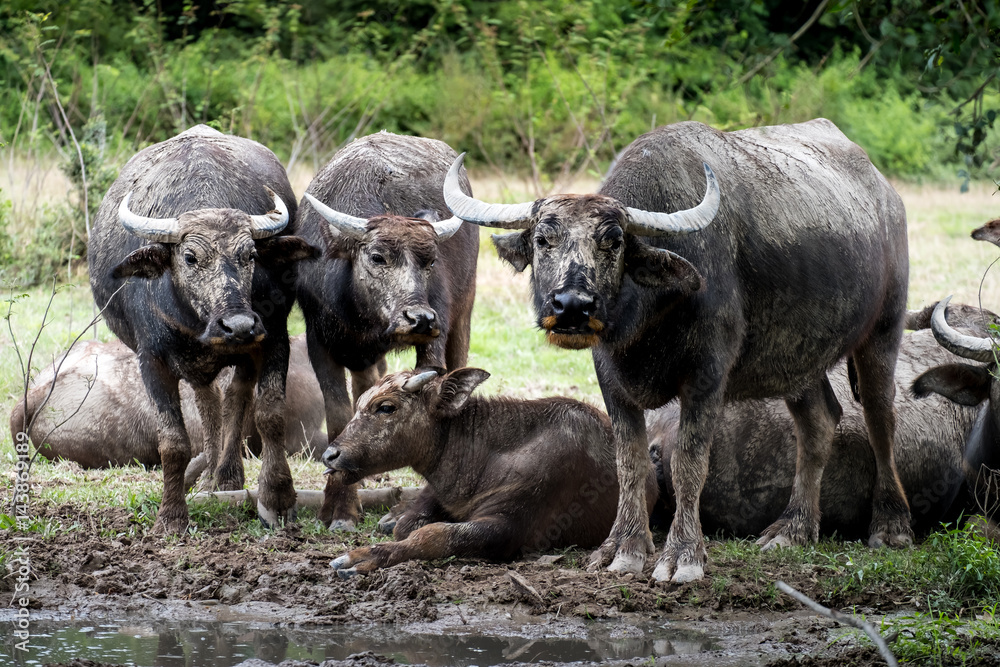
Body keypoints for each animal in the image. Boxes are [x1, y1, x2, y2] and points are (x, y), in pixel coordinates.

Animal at [88, 124, 318, 532]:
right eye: (190, 257)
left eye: (250, 255)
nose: (239, 325)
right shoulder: (151, 360)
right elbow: (173, 441)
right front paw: (171, 515)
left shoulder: (274, 339)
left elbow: (270, 416)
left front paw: (278, 498)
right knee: (208, 402)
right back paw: (212, 475)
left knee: (233, 399)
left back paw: (226, 476)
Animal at [295, 131, 478, 530]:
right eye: (377, 256)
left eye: (430, 261)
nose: (420, 319)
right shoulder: (321, 342)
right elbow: (340, 415)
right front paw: (340, 505)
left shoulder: (434, 341)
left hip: (464, 314)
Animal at [323, 368, 658, 575]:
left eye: (386, 407)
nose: (330, 455)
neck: (487, 458)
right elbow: (410, 524)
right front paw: (397, 519)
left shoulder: (508, 528)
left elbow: (432, 534)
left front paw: (360, 558)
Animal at [443, 119, 910, 582]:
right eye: (543, 239)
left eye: (613, 241)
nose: (572, 306)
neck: (650, 320)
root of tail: (887, 197)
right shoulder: (610, 377)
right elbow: (629, 461)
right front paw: (622, 548)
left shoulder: (707, 375)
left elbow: (689, 461)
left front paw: (684, 555)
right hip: (798, 360)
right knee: (818, 422)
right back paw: (793, 529)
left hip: (883, 331)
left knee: (880, 417)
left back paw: (891, 526)